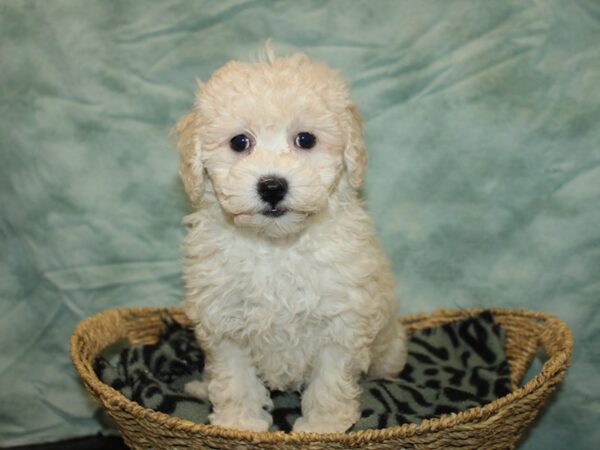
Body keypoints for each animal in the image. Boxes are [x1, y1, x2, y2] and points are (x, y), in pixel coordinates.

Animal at [173, 44, 408, 432]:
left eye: (305, 140)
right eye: (240, 142)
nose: (272, 186)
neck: (276, 246)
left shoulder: (341, 320)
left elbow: (330, 381)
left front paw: (323, 427)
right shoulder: (224, 322)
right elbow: (234, 379)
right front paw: (239, 424)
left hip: (388, 347)